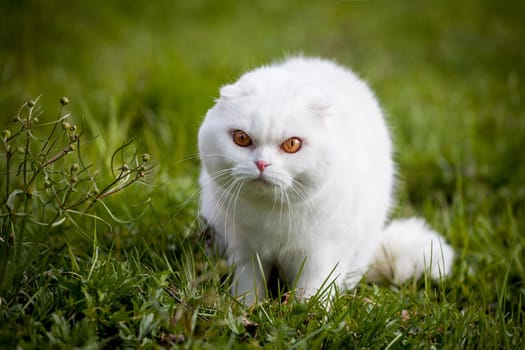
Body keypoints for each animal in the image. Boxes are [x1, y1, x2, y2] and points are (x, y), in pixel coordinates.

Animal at [199, 56, 452, 304]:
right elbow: (248, 286)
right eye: (241, 138)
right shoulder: (245, 249)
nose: (262, 164)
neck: (271, 212)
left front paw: (306, 313)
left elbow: (311, 293)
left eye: (292, 144)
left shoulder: (321, 255)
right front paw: (245, 308)